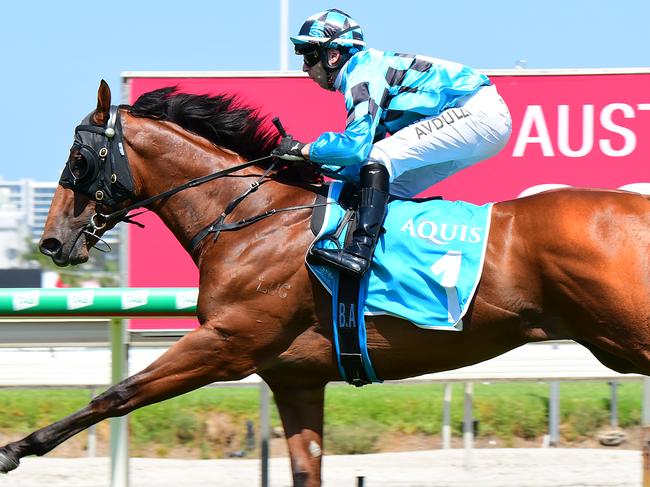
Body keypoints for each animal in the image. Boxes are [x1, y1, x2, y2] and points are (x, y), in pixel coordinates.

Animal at [0, 78, 644, 486]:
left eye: (77, 160)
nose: (52, 241)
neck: (250, 219)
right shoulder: (296, 380)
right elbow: (304, 468)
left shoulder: (225, 344)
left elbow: (114, 394)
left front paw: (14, 449)